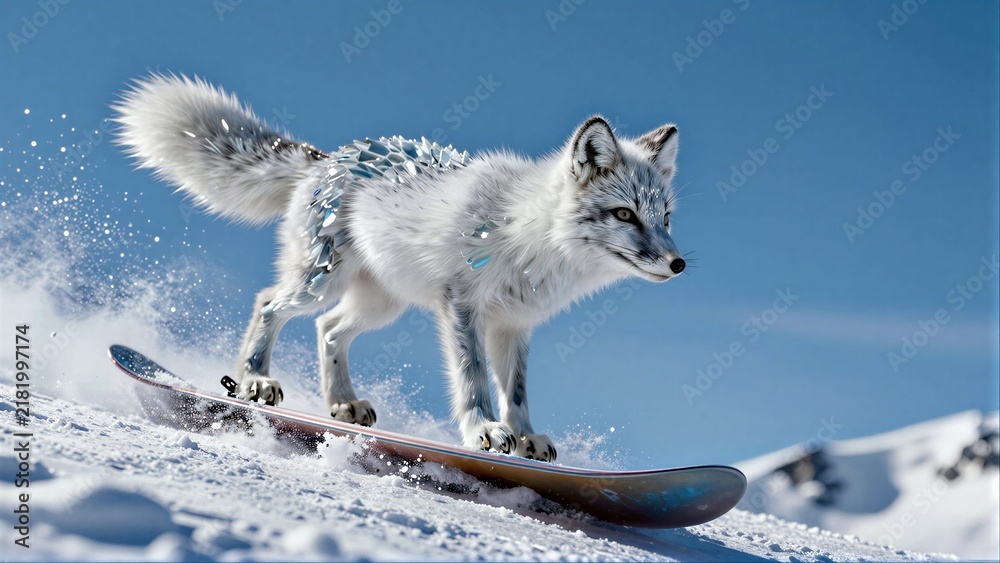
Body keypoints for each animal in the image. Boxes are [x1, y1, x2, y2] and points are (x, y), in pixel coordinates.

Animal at [113, 74, 686, 461]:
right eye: (624, 214)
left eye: (664, 217)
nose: (678, 264)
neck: (528, 237)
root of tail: (329, 156)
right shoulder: (462, 307)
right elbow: (474, 380)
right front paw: (483, 432)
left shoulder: (514, 326)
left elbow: (517, 393)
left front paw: (524, 436)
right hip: (321, 281)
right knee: (270, 303)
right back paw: (254, 378)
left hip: (379, 303)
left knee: (328, 330)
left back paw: (343, 405)